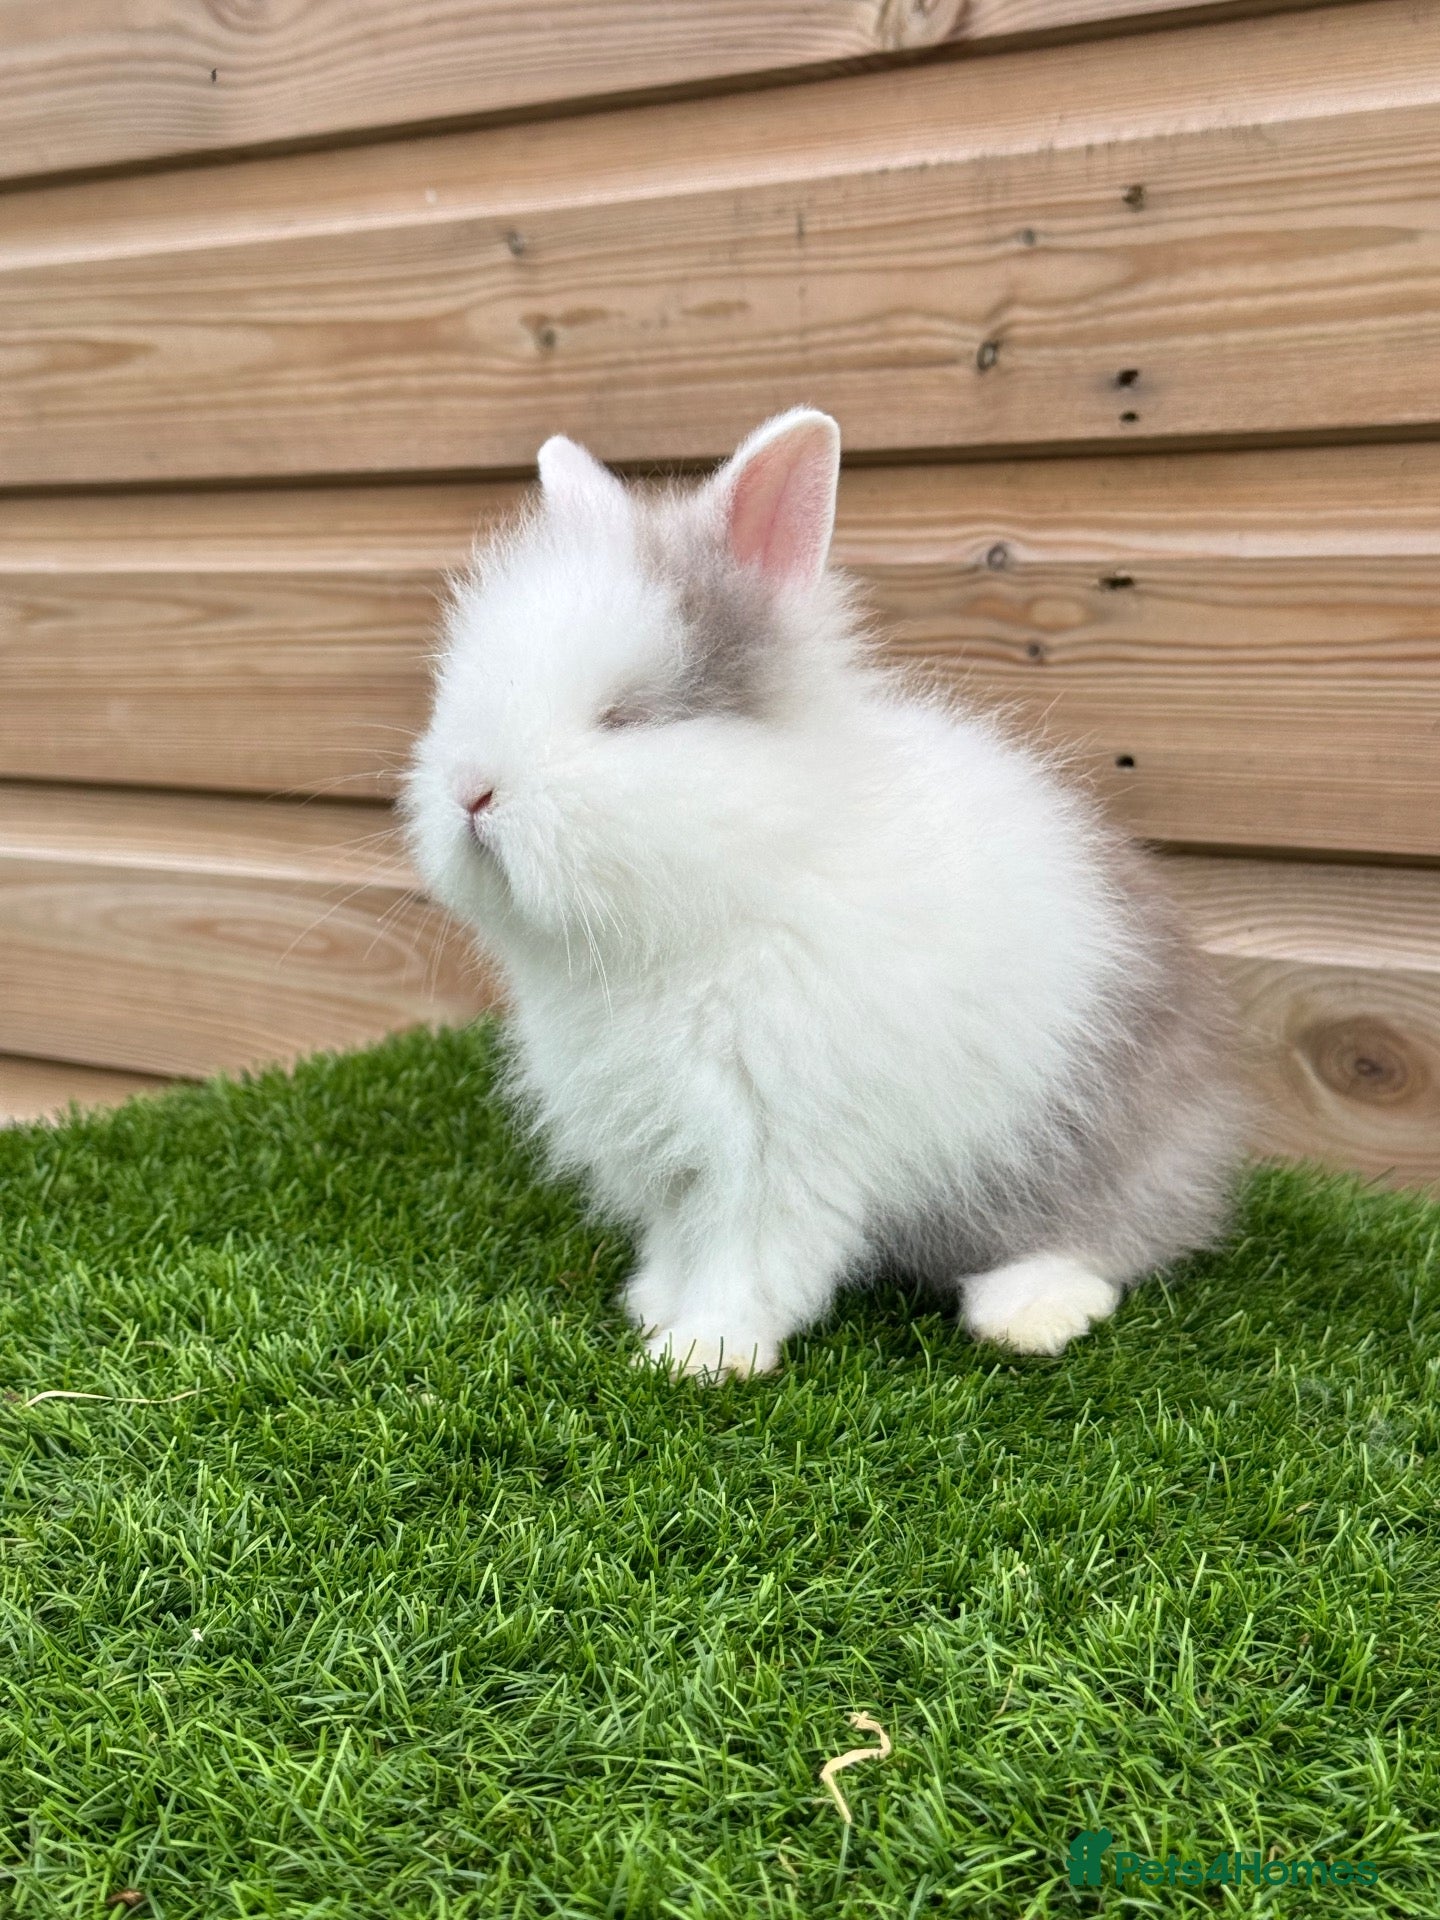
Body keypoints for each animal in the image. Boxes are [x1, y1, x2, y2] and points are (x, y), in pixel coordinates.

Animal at [403, 408, 1247, 1380]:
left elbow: (749, 1257)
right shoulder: (674, 1157)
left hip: (1093, 1148)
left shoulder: (777, 1146)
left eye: (625, 718)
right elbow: (680, 1241)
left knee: (1110, 1243)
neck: (744, 880)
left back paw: (1026, 1315)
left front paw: (699, 1354)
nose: (470, 792)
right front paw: (654, 1307)